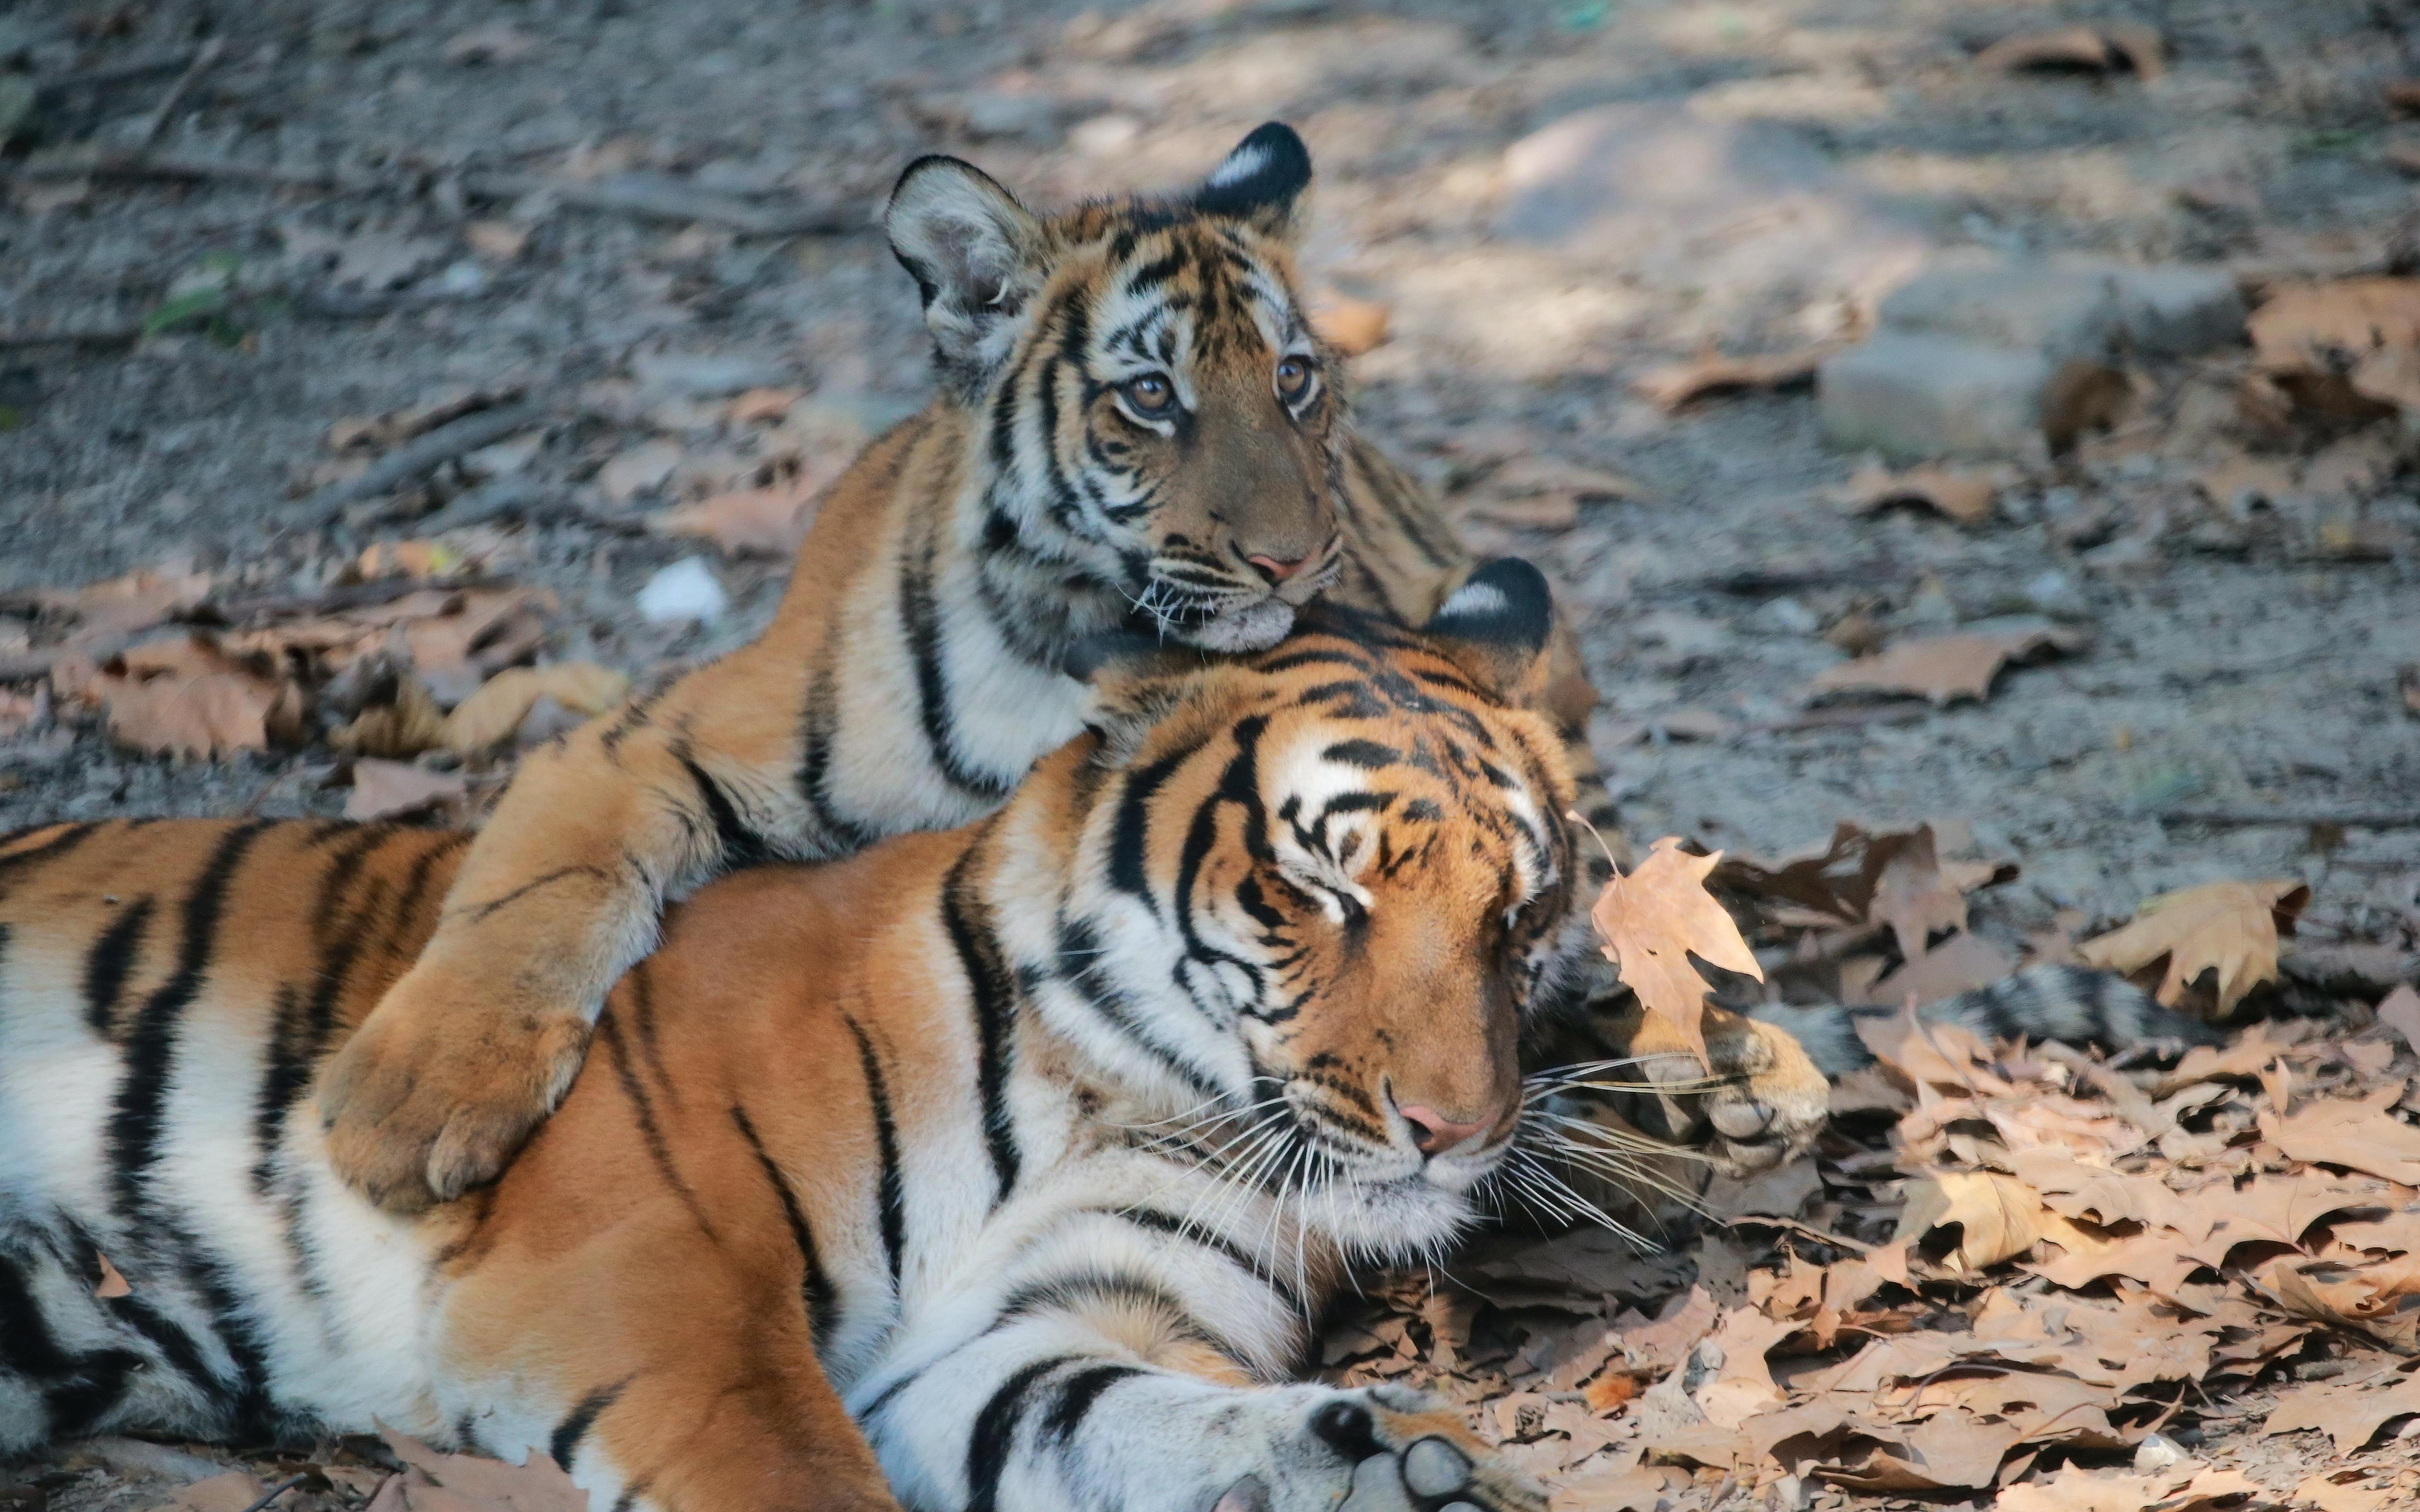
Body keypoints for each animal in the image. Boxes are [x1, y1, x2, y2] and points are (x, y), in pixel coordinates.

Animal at [0, 566, 1820, 1509]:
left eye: (1522, 914)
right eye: (1319, 888)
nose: (1455, 1131)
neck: (1120, 1089)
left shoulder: (1022, 1335)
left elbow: (1116, 1414)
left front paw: (1368, 1463)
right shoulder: (643, 1272)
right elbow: (791, 1474)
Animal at [312, 118, 1616, 1210]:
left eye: (1293, 379)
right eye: (1152, 396)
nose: (1294, 562)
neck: (1088, 636)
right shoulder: (643, 739)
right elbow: (531, 889)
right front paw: (407, 1106)